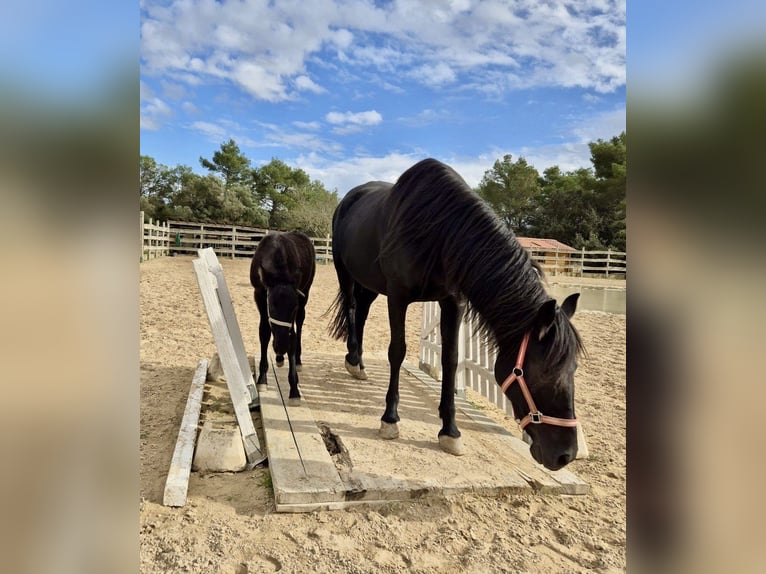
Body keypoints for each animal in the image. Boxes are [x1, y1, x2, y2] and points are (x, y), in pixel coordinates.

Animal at [250, 231, 316, 400]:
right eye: (271, 305)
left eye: (294, 307)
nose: (281, 346)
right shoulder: (259, 295)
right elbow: (264, 332)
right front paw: (262, 379)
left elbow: (292, 335)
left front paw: (294, 387)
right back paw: (279, 357)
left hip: (306, 292)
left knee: (299, 324)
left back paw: (296, 359)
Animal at [329, 158, 584, 471]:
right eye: (543, 373)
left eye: (573, 369)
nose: (565, 455)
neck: (438, 231)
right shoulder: (398, 297)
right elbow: (397, 351)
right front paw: (390, 418)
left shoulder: (453, 302)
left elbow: (450, 360)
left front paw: (449, 430)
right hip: (345, 271)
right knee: (353, 309)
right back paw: (354, 360)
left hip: (370, 283)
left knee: (362, 312)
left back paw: (358, 363)